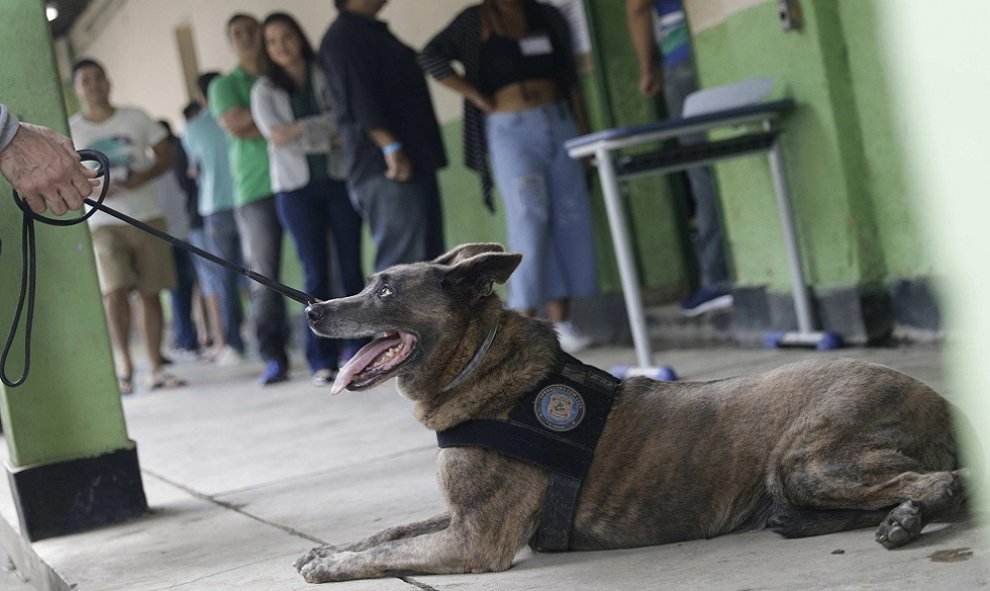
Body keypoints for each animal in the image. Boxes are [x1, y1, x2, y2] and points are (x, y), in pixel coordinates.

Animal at [294, 244, 968, 584]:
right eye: (368, 283)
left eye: (385, 290)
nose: (313, 311)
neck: (481, 367)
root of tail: (942, 399)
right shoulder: (460, 516)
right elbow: (391, 532)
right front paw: (330, 549)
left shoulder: (476, 538)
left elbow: (390, 553)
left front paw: (332, 564)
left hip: (808, 461)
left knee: (946, 481)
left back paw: (906, 519)